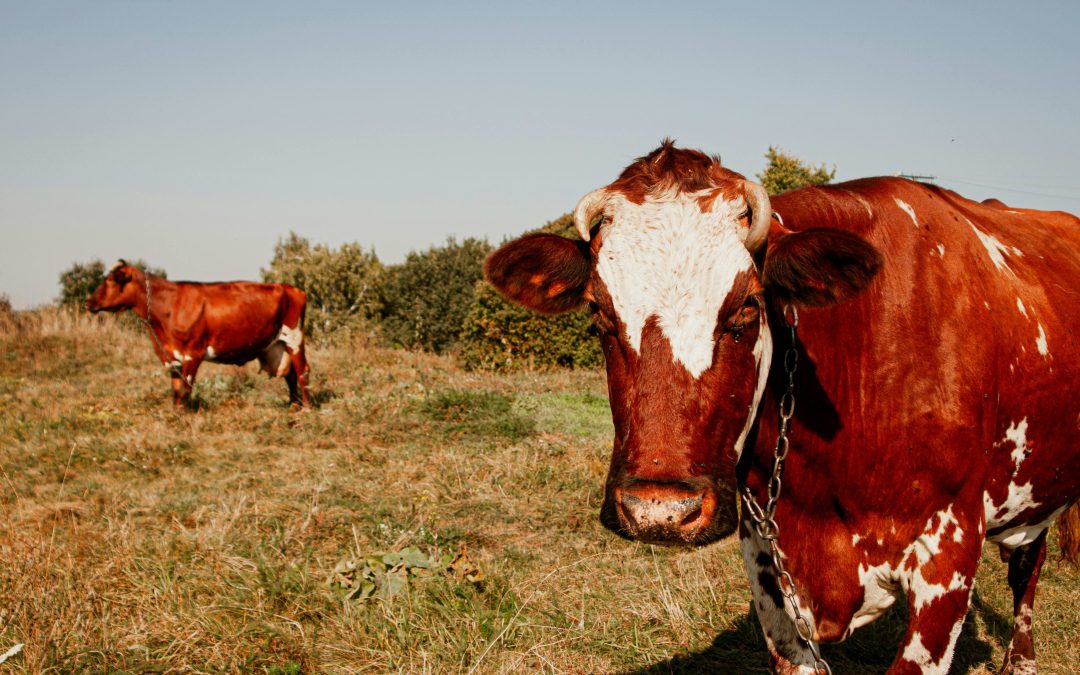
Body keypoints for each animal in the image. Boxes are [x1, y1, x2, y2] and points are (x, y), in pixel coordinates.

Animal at [87, 260, 311, 409]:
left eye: (111, 280)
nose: (88, 302)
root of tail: (293, 289)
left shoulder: (192, 354)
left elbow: (184, 390)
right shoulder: (173, 357)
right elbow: (176, 391)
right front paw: (175, 416)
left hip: (295, 339)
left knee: (302, 372)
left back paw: (306, 409)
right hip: (277, 345)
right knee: (291, 375)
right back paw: (293, 407)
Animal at [485, 141, 1080, 674]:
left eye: (748, 306)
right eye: (598, 312)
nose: (659, 510)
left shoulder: (949, 559)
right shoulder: (769, 566)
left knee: (1028, 565)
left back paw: (1021, 660)